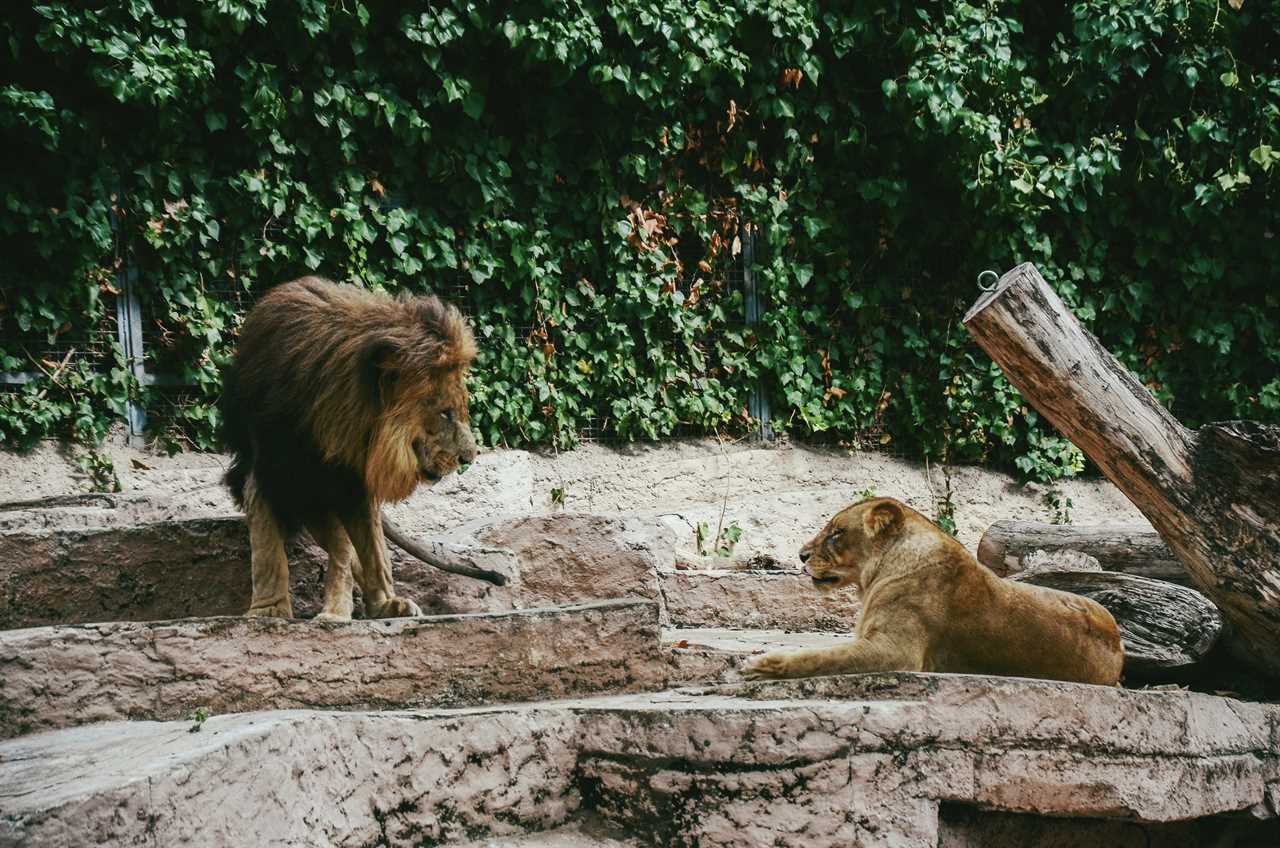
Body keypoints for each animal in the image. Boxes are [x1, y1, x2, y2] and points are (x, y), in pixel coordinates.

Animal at [222, 279, 491, 625]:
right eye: (446, 413)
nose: (469, 457)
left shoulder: (350, 483)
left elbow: (369, 549)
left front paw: (373, 605)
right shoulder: (274, 468)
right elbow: (269, 549)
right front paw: (268, 610)